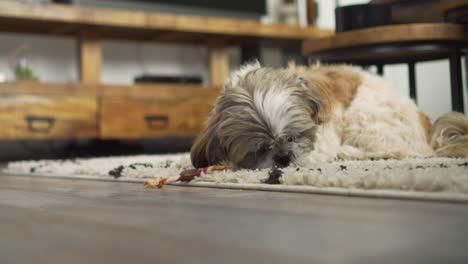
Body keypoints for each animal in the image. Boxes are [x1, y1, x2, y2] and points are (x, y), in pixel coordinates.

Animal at [191, 61, 468, 169]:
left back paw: (349, 153)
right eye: (259, 150)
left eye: (292, 137)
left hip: (364, 116)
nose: (282, 157)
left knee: (396, 151)